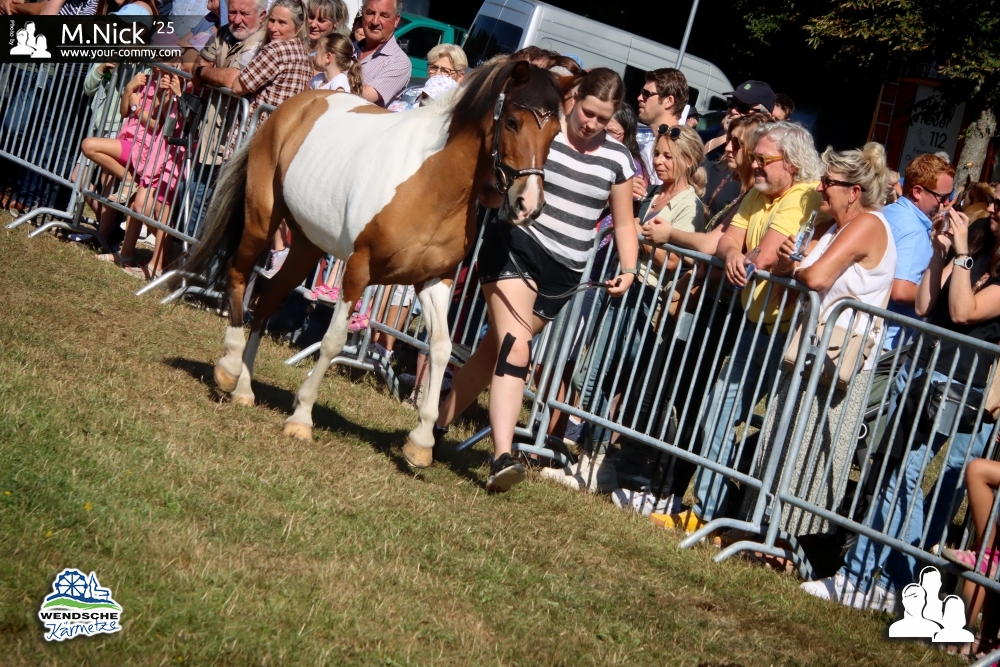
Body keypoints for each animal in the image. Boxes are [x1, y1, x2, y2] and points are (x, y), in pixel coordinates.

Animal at [171, 58, 567, 468]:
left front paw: (420, 444)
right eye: (513, 122)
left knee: (267, 302)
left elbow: (440, 350)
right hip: (261, 218)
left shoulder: (434, 281)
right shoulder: (359, 270)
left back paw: (245, 390)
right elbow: (333, 341)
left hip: (307, 245)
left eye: (555, 132)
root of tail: (292, 106)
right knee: (237, 275)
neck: (431, 181)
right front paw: (301, 418)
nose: (528, 205)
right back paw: (229, 370)